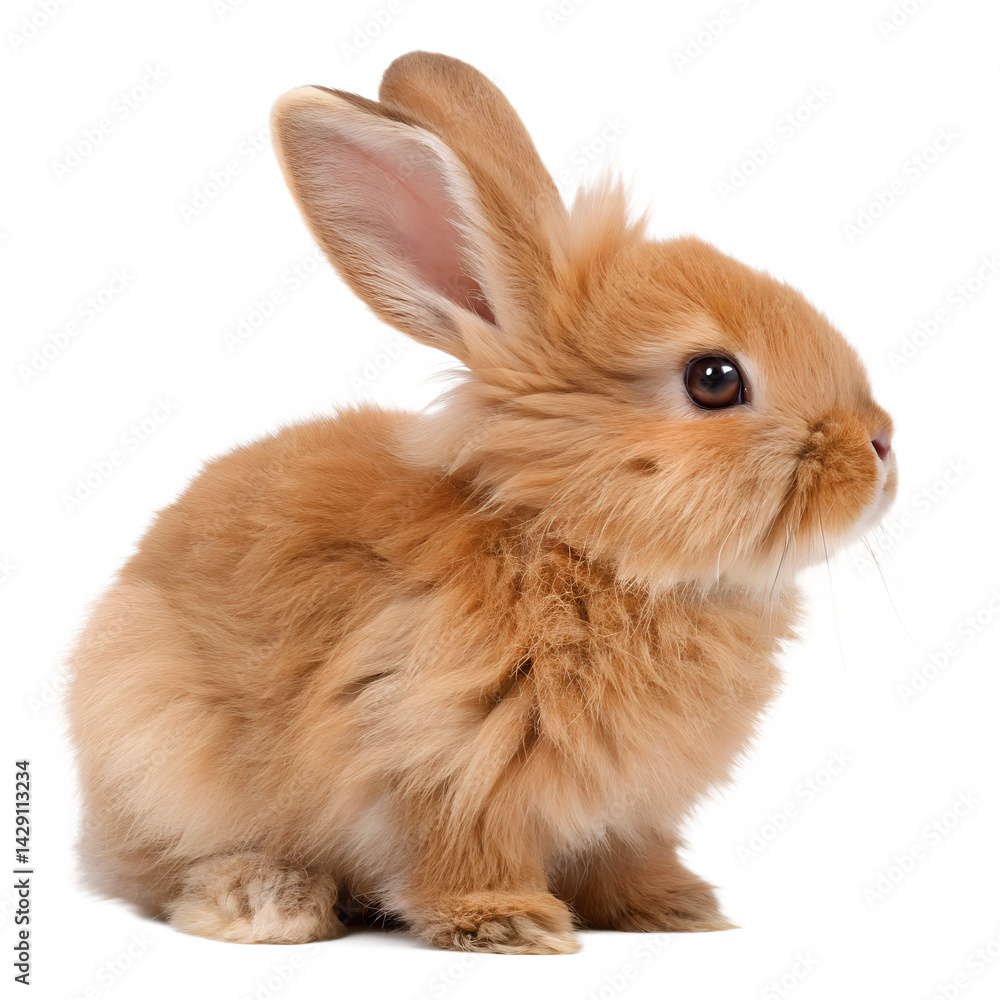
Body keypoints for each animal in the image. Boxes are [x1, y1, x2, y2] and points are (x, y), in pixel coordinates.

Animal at [66, 50, 897, 955]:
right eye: (714, 379)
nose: (881, 447)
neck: (576, 543)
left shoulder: (630, 812)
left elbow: (628, 858)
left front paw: (675, 909)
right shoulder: (439, 759)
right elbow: (462, 854)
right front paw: (510, 923)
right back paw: (267, 899)